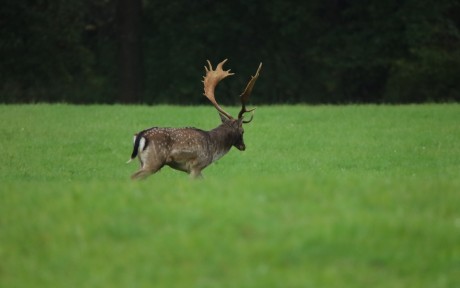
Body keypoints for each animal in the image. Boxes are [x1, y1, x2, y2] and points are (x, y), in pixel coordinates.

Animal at [127, 59, 262, 179]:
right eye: (242, 131)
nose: (243, 146)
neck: (214, 148)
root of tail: (140, 135)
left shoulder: (192, 169)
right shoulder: (197, 165)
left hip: (142, 161)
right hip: (154, 160)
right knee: (133, 177)